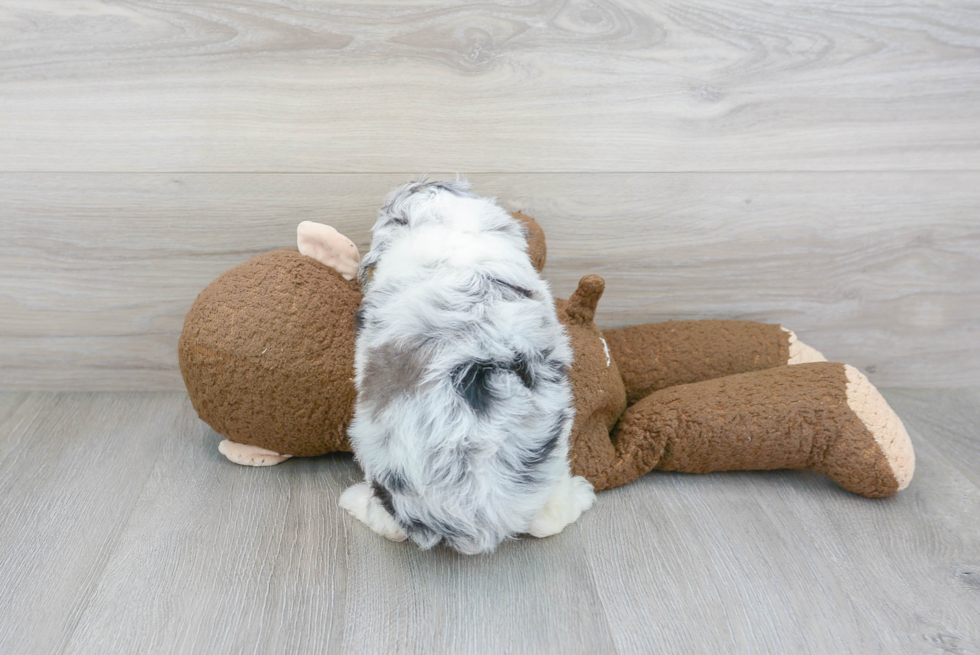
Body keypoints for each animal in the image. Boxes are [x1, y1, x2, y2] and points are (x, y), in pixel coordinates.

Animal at [336, 179, 596, 552]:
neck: (449, 226)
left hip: (374, 455)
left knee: (390, 526)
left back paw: (352, 499)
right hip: (550, 461)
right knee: (547, 521)